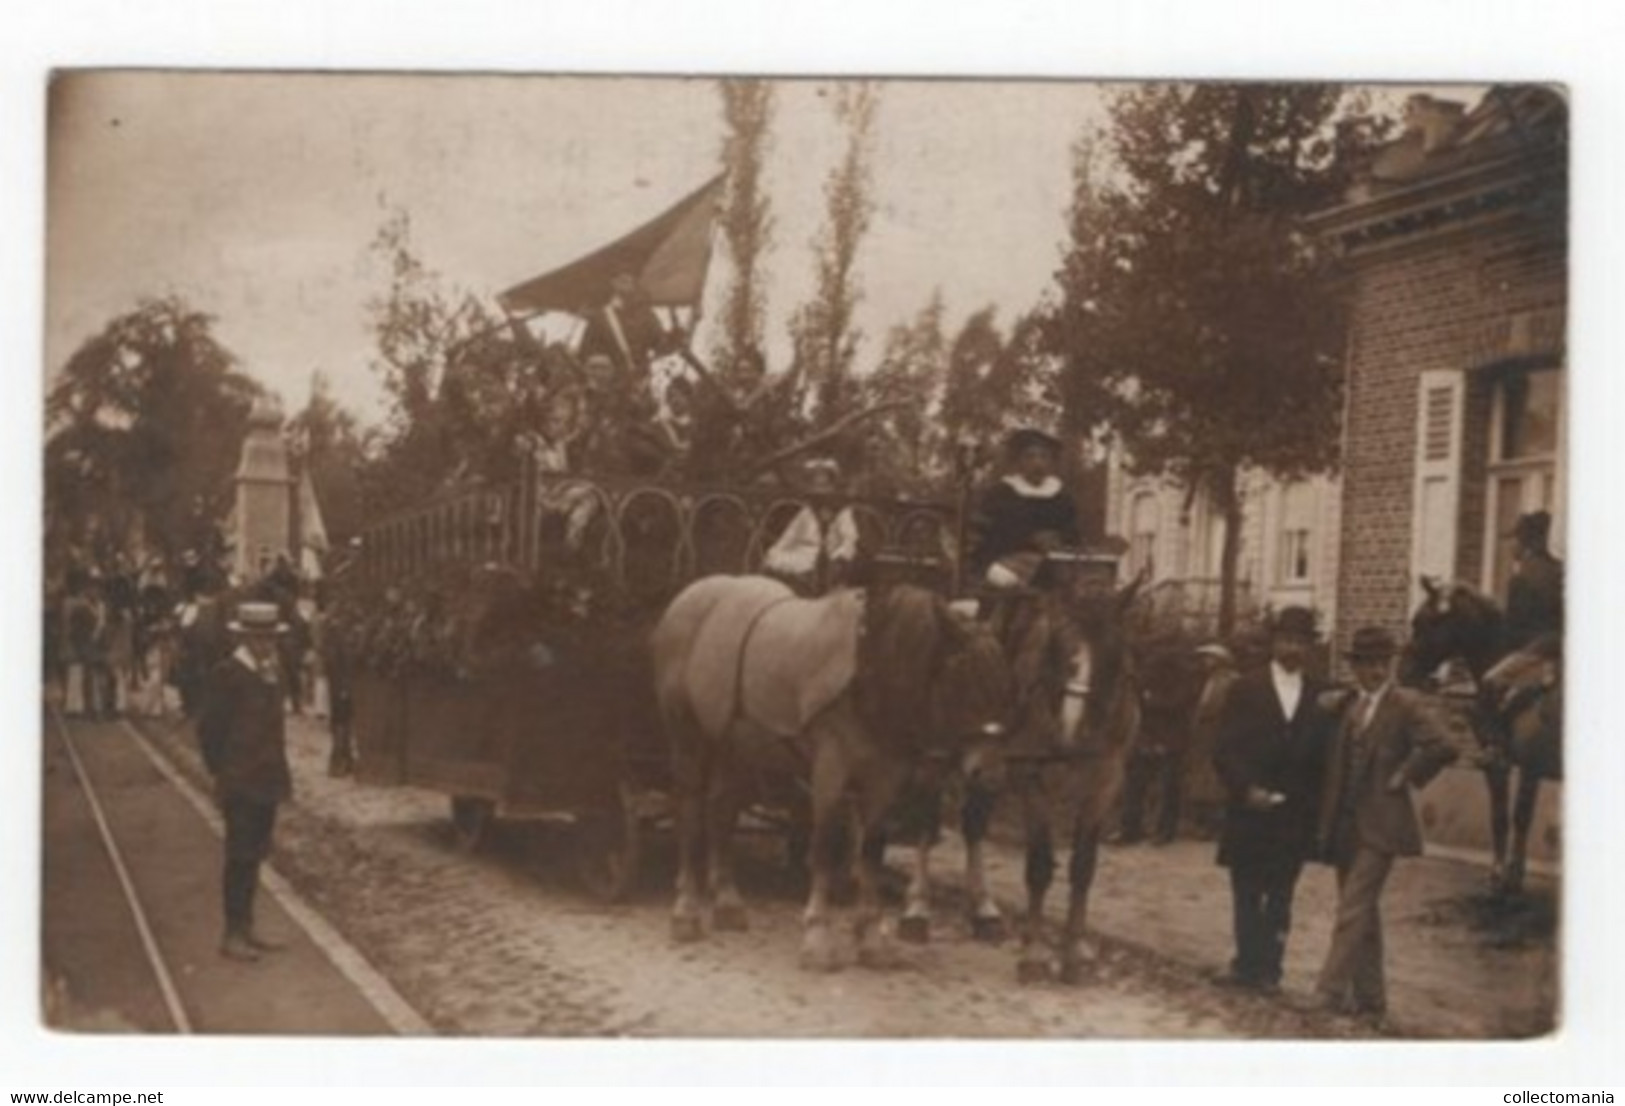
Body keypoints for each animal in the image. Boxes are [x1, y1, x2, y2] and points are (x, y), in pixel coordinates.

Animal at [650, 574, 1014, 967]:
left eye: (1004, 683)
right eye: (963, 680)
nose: (991, 775)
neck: (869, 665)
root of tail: (690, 594)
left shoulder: (884, 780)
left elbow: (871, 851)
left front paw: (870, 939)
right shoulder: (829, 772)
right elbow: (823, 848)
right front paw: (817, 937)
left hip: (733, 746)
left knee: (721, 811)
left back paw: (728, 905)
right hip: (686, 735)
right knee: (690, 811)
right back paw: (685, 912)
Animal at [1397, 578, 1560, 896]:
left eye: (1424, 621)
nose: (1402, 672)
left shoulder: (1511, 765)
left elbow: (1509, 816)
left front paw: (1502, 875)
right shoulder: (1517, 766)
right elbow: (1511, 816)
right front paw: (1510, 874)